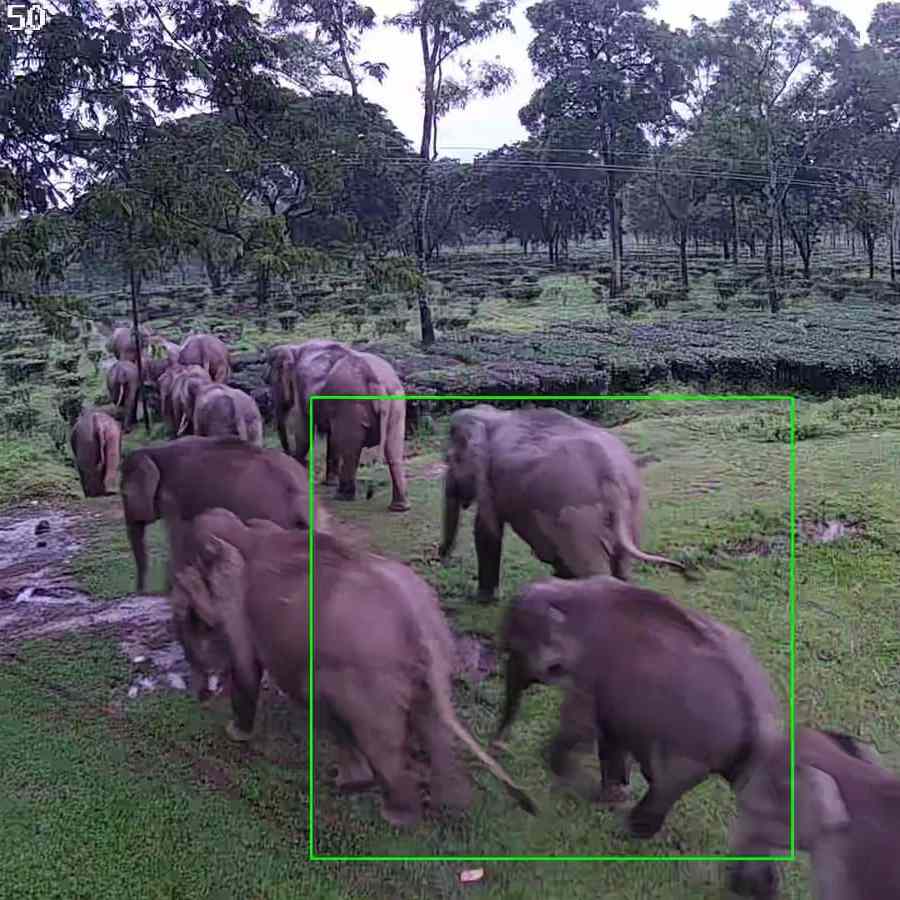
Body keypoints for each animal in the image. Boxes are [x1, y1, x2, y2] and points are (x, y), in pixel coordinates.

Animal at [168, 507, 537, 827]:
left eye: (188, 615)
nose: (200, 696)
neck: (243, 532)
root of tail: (419, 625)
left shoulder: (237, 605)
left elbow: (246, 667)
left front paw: (235, 734)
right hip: (422, 674)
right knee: (431, 725)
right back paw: (450, 803)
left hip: (367, 682)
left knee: (339, 710)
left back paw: (387, 809)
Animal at [293, 345, 409, 511]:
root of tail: (377, 382)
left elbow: (304, 432)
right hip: (396, 403)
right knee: (393, 451)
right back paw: (399, 507)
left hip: (351, 405)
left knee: (349, 449)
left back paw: (342, 497)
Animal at [439, 404, 690, 602]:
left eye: (449, 460)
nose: (442, 557)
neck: (492, 415)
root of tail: (612, 478)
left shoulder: (488, 480)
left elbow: (486, 531)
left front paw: (481, 599)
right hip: (633, 514)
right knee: (622, 568)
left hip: (577, 521)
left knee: (594, 571)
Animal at [492, 575, 781, 842]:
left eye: (514, 650)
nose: (498, 746)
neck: (570, 592)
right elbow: (609, 736)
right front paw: (613, 792)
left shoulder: (590, 674)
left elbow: (580, 728)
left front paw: (591, 791)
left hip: (694, 750)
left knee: (664, 787)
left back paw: (625, 827)